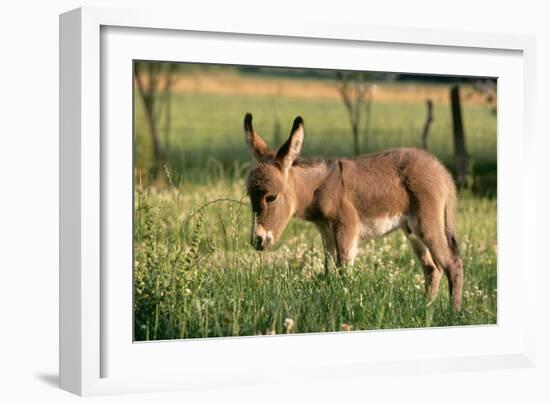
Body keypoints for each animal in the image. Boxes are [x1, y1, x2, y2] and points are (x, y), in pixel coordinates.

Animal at [244, 113, 464, 312]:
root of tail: (442, 172)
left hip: (426, 224)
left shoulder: (346, 226)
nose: (257, 241)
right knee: (432, 269)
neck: (320, 188)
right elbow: (329, 270)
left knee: (453, 264)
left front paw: (344, 304)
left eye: (271, 197)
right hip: (411, 231)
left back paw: (453, 313)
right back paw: (426, 308)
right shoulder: (326, 231)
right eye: (249, 196)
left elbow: (343, 270)